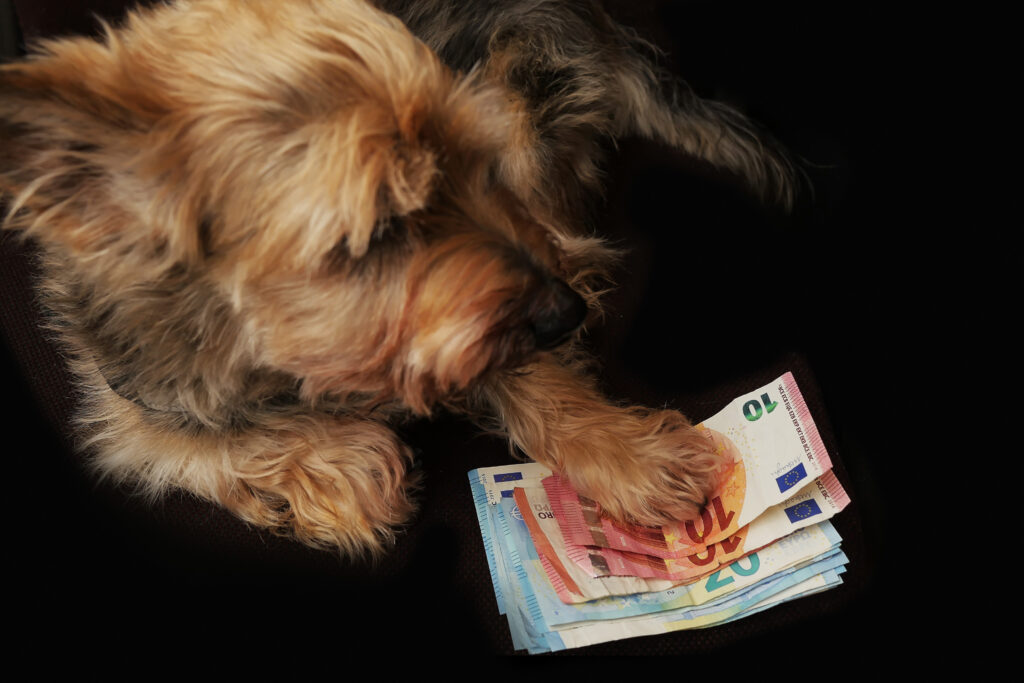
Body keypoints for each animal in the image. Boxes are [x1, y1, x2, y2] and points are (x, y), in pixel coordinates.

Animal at [2, 0, 798, 557]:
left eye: (472, 169)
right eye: (380, 226)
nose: (561, 314)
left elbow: (520, 370)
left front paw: (631, 456)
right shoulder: (124, 399)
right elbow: (192, 443)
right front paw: (338, 469)